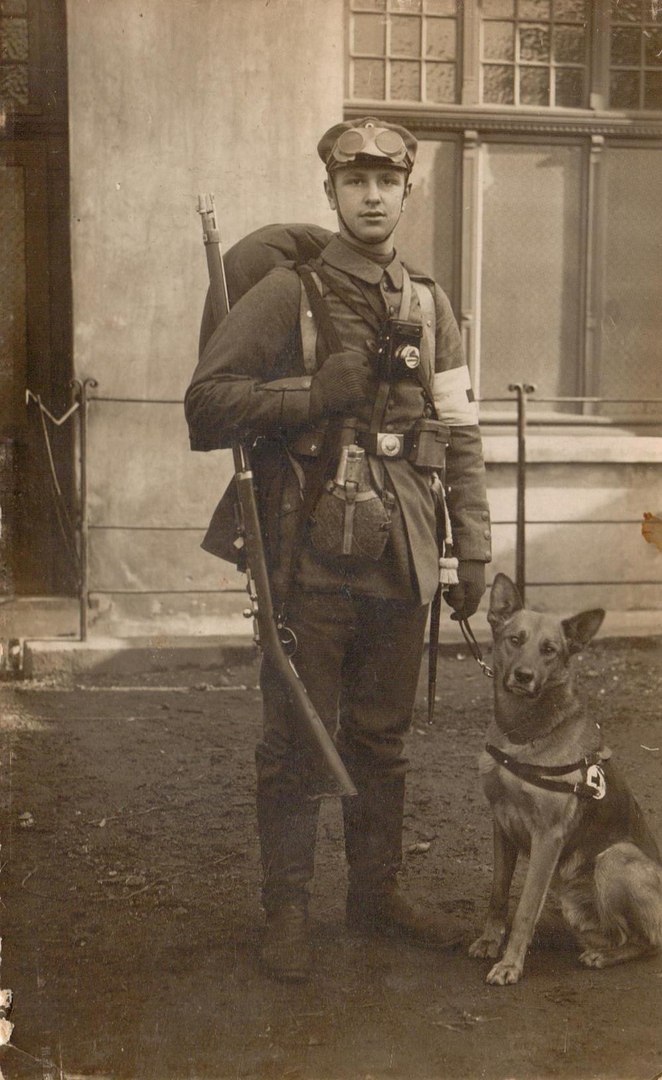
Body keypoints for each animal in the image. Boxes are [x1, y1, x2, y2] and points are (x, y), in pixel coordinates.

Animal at [469, 573, 662, 985]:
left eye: (550, 650)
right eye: (515, 639)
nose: (523, 676)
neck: (523, 735)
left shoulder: (547, 837)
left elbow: (525, 907)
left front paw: (510, 964)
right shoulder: (501, 824)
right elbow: (498, 894)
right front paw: (490, 941)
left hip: (614, 859)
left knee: (649, 942)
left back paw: (604, 957)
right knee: (618, 932)